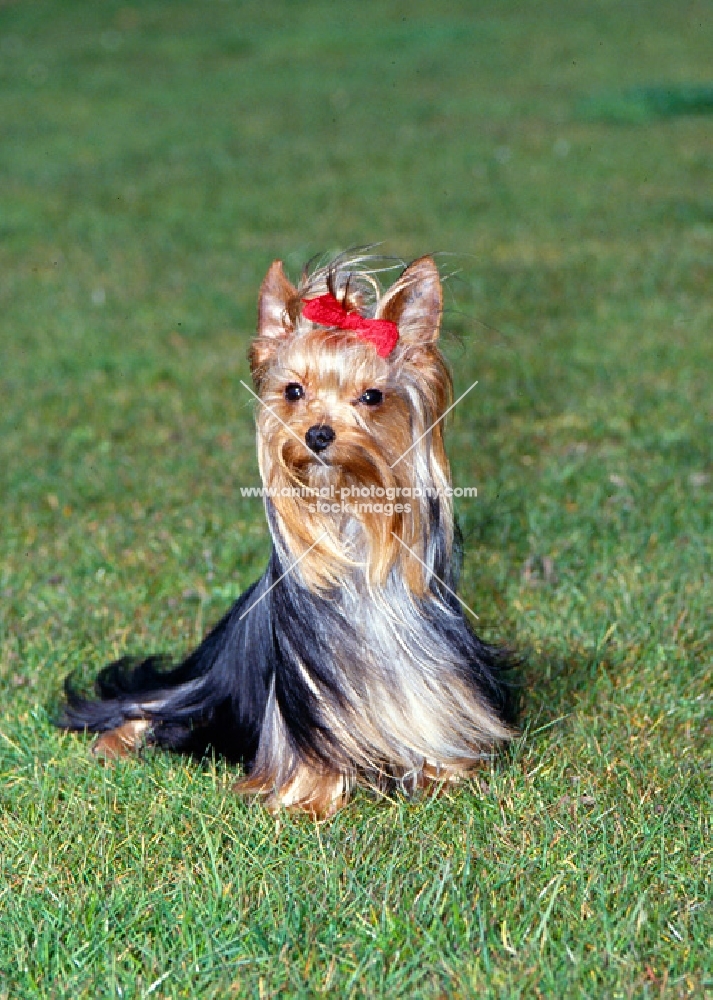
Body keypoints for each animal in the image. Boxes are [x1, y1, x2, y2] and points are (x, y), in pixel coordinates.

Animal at [61, 254, 516, 816]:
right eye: (293, 391)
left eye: (372, 396)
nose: (318, 434)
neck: (348, 516)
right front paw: (308, 799)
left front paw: (442, 772)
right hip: (201, 689)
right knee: (146, 708)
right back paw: (115, 740)